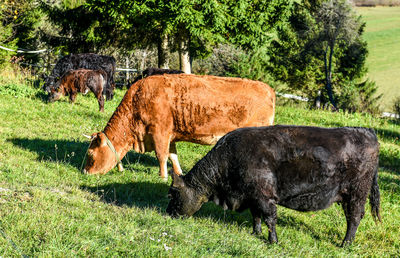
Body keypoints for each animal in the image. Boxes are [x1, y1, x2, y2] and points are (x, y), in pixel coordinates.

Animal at [83, 73, 276, 179]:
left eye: (91, 155)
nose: (85, 172)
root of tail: (268, 89)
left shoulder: (159, 132)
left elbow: (161, 155)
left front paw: (162, 176)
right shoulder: (170, 135)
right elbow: (172, 155)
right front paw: (178, 173)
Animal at [166, 126, 382, 247]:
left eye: (172, 194)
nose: (167, 214)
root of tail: (367, 132)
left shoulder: (265, 197)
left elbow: (270, 219)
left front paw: (273, 241)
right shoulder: (252, 196)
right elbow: (256, 216)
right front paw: (256, 233)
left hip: (356, 194)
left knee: (354, 217)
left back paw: (345, 244)